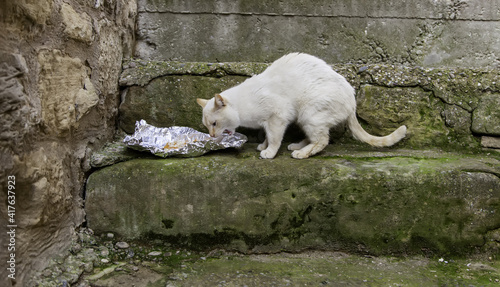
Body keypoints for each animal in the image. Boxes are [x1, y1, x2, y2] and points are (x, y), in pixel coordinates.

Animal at [196, 53, 406, 159]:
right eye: (207, 126)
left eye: (214, 124)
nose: (212, 136)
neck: (242, 108)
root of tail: (353, 100)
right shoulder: (268, 122)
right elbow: (267, 137)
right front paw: (262, 146)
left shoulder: (277, 118)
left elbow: (274, 139)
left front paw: (268, 152)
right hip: (305, 119)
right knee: (316, 138)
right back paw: (297, 146)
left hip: (309, 114)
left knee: (322, 141)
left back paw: (301, 153)